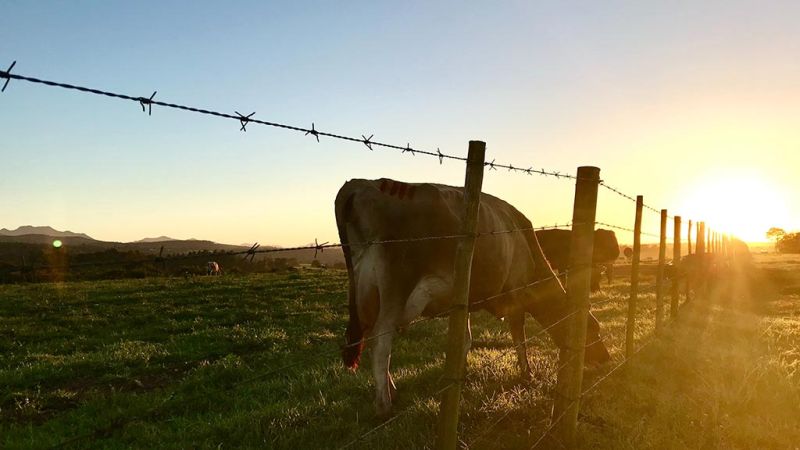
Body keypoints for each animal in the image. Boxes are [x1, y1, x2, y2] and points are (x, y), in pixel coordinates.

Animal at [334, 178, 608, 416]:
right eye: (593, 331)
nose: (605, 359)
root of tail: (359, 184)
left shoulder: (463, 302)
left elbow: (465, 340)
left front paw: (459, 375)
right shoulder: (516, 292)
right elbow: (519, 337)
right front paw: (527, 373)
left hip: (364, 293)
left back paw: (391, 391)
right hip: (395, 286)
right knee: (381, 344)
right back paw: (384, 405)